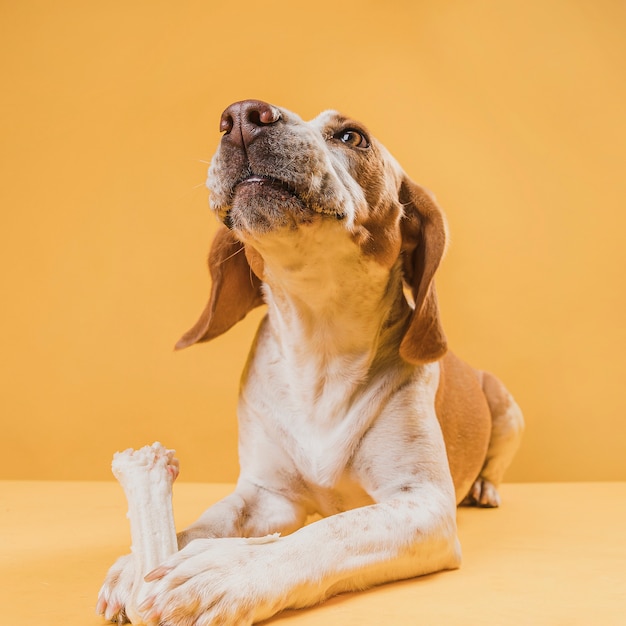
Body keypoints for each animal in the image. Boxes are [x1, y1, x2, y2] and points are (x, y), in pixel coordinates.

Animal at [97, 100, 524, 620]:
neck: (321, 346)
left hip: (505, 405)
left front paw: (225, 571)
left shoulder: (423, 504)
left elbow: (328, 531)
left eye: (352, 136)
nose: (242, 116)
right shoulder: (267, 496)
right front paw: (140, 560)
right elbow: (208, 520)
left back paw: (485, 488)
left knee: (493, 464)